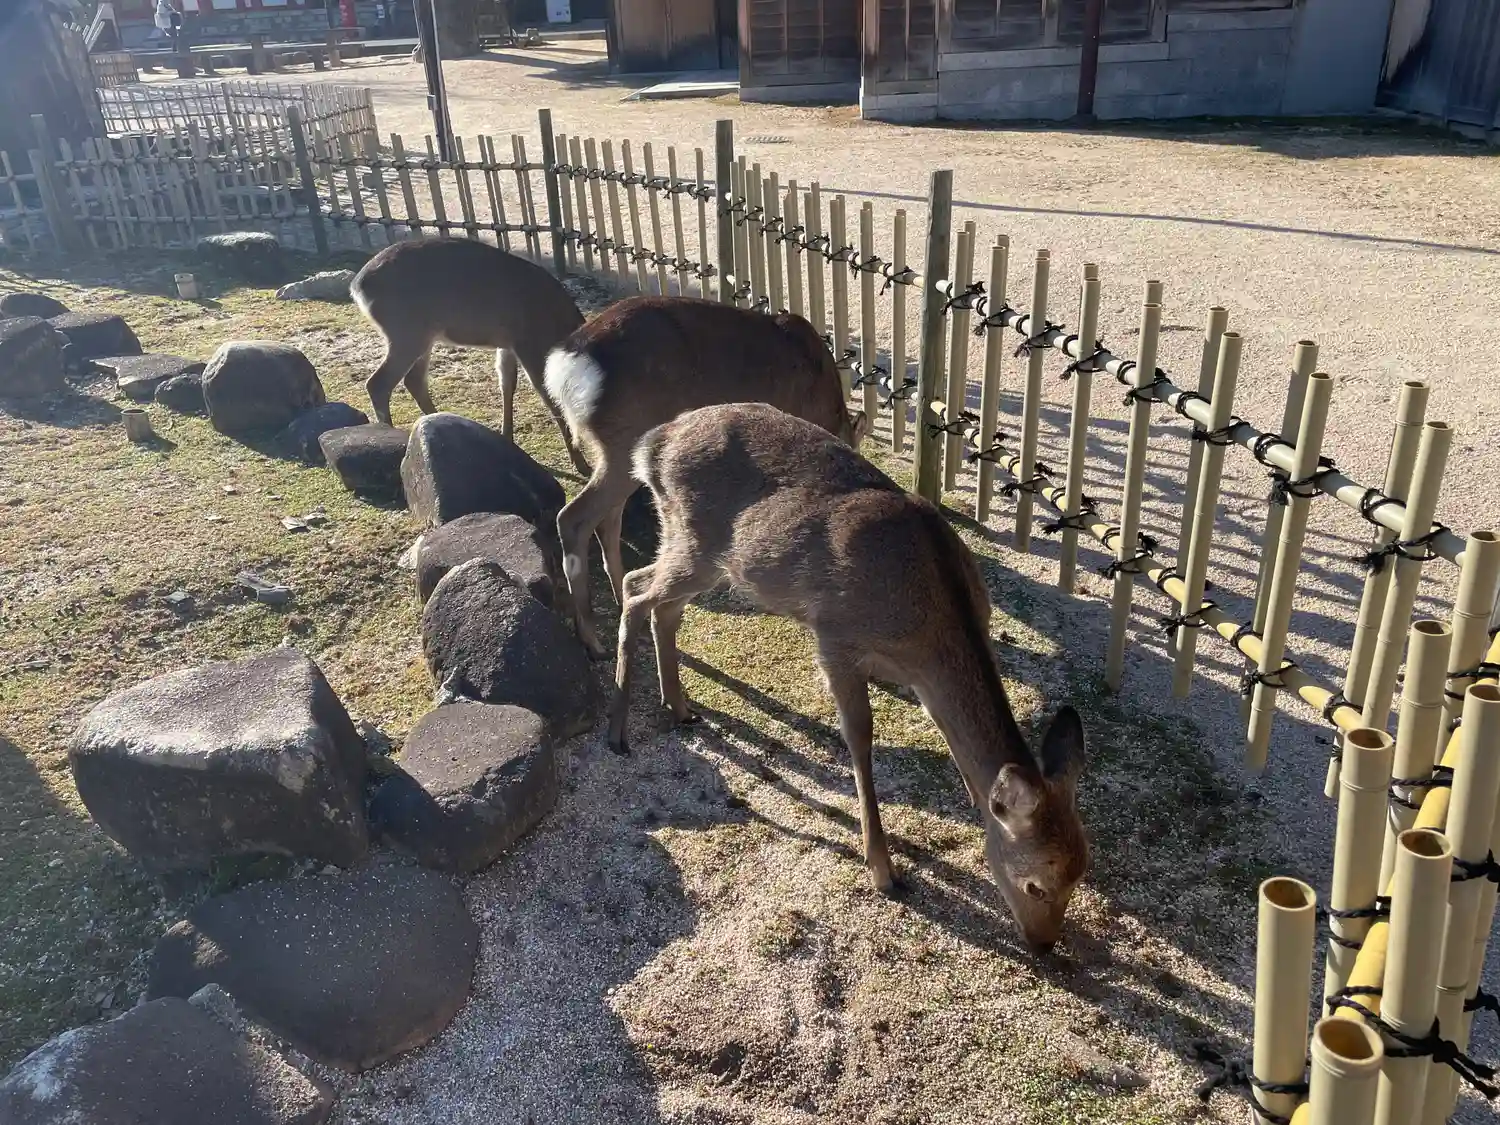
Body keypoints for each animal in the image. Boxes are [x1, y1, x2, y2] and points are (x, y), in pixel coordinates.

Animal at [349, 237, 591, 474]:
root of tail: (357, 285)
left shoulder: (507, 344)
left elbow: (507, 385)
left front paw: (507, 438)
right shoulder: (527, 341)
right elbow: (548, 394)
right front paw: (581, 464)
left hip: (421, 335)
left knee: (413, 380)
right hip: (406, 330)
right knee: (379, 383)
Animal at [543, 295, 868, 659]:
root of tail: (564, 368)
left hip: (615, 451)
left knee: (606, 520)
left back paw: (619, 602)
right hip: (625, 440)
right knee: (574, 517)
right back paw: (592, 639)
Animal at [608, 402, 1089, 952]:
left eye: (1080, 876)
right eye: (1035, 884)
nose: (1044, 945)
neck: (926, 620)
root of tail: (654, 444)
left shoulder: (918, 676)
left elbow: (944, 729)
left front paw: (973, 797)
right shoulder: (835, 637)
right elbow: (859, 737)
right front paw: (884, 870)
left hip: (696, 549)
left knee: (661, 606)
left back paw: (679, 706)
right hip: (695, 541)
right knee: (636, 589)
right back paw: (618, 731)